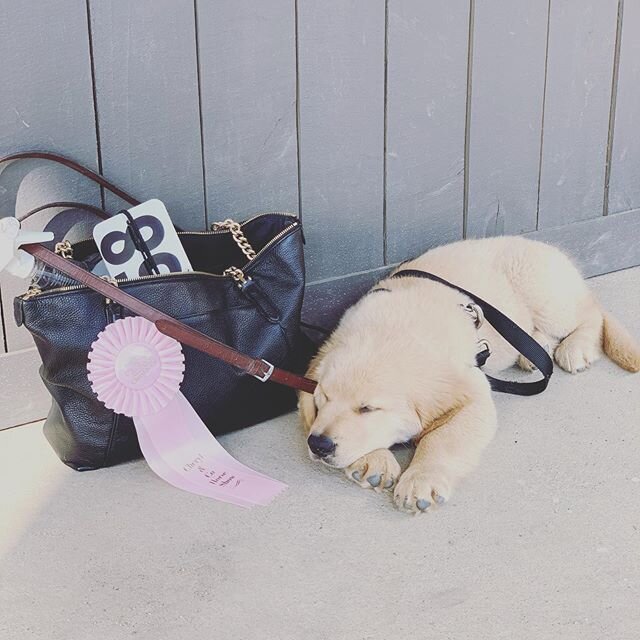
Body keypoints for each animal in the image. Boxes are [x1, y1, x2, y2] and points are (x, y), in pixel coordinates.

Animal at [300, 238, 640, 512]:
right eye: (322, 399)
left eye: (367, 408)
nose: (318, 445)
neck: (391, 331)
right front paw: (373, 459)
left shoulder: (472, 393)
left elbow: (442, 439)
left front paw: (420, 480)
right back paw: (533, 353)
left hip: (546, 295)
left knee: (591, 313)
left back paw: (575, 348)